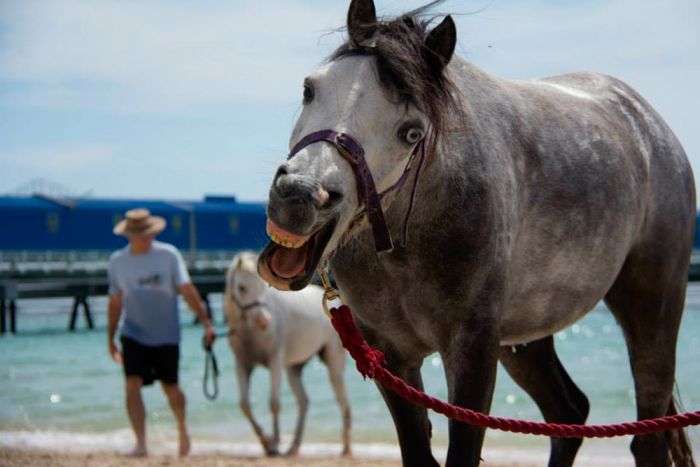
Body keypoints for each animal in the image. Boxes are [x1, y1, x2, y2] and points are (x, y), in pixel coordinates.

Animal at [223, 252, 350, 458]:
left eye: (262, 287)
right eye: (242, 287)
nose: (264, 321)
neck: (251, 332)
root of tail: (335, 303)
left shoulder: (275, 361)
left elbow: (274, 403)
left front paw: (274, 444)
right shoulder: (242, 364)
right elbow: (245, 405)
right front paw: (266, 441)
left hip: (333, 364)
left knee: (341, 400)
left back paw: (346, 447)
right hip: (294, 369)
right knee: (304, 402)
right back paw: (294, 446)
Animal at [256, 1, 696, 466]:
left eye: (411, 133)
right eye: (310, 89)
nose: (300, 194)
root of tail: (647, 124)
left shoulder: (471, 351)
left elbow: (463, 450)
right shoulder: (389, 354)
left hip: (652, 310)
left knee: (646, 437)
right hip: (524, 338)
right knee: (569, 413)